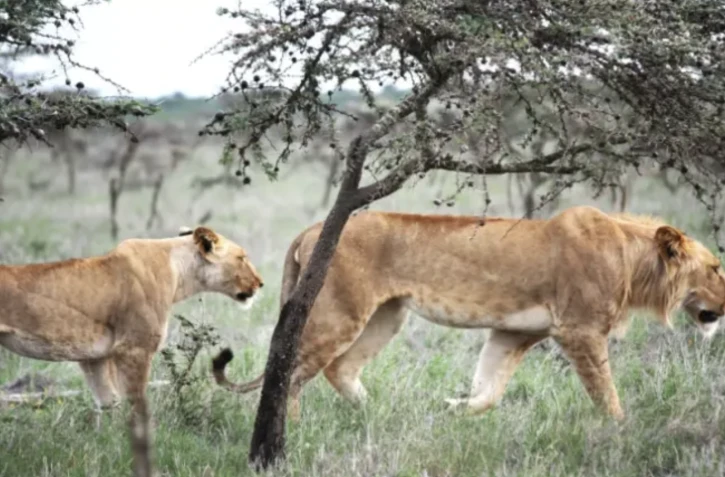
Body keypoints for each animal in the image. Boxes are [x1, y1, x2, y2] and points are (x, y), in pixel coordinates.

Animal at [0, 226, 263, 477]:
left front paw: (107, 447)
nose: (260, 283)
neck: (179, 272)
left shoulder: (95, 356)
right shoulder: (135, 349)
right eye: (242, 257)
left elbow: (109, 404)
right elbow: (136, 408)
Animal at [213, 205, 725, 422]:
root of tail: (312, 228)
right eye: (717, 268)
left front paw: (455, 408)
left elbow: (490, 390)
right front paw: (620, 432)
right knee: (292, 373)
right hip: (340, 312)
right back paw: (290, 435)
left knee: (339, 369)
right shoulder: (579, 331)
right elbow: (606, 392)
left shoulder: (513, 334)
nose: (723, 305)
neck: (634, 262)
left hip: (387, 316)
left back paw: (377, 412)